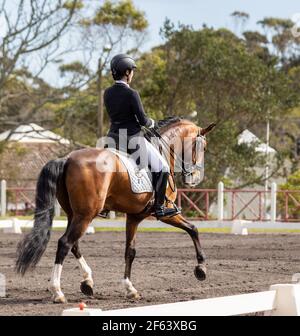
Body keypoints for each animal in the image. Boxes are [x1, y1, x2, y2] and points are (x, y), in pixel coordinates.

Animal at [15, 117, 216, 304]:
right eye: (204, 147)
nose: (194, 179)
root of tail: (67, 159)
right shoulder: (166, 213)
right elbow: (193, 229)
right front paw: (201, 269)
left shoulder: (134, 217)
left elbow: (130, 251)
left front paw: (130, 289)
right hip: (86, 215)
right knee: (65, 243)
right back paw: (58, 291)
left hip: (74, 214)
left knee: (74, 244)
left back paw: (87, 282)